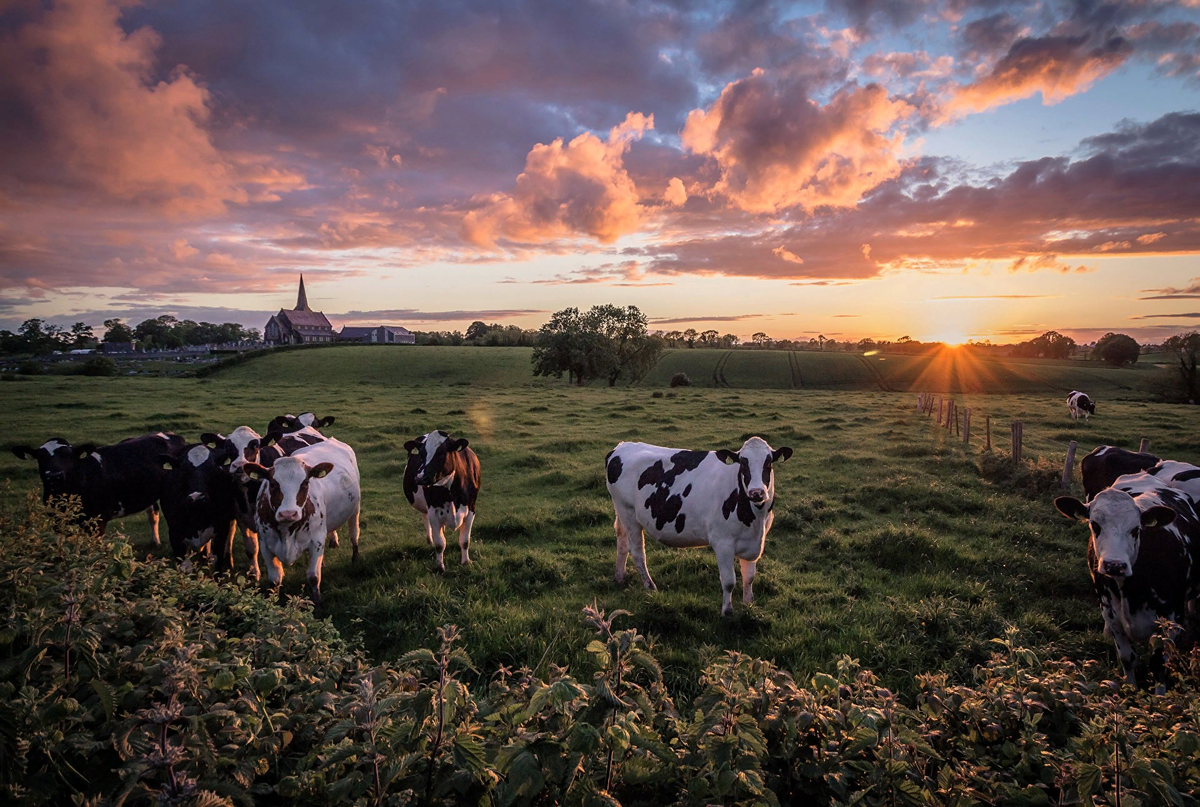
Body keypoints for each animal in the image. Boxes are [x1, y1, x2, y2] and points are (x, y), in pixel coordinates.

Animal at [241, 434, 357, 605]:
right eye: (273, 484)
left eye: (305, 483)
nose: (288, 513)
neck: (287, 530)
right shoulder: (266, 544)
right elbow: (274, 580)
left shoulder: (316, 541)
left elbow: (313, 577)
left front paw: (317, 603)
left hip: (355, 511)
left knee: (354, 534)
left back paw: (355, 558)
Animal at [403, 427, 477, 574]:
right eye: (421, 454)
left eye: (442, 453)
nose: (420, 478)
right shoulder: (434, 511)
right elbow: (440, 544)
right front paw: (439, 567)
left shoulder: (471, 509)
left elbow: (465, 541)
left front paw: (466, 562)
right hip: (427, 509)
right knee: (426, 521)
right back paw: (429, 541)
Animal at [604, 437, 792, 614]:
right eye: (743, 464)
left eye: (768, 463)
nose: (757, 492)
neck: (755, 521)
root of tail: (622, 446)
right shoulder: (722, 542)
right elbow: (729, 581)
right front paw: (727, 612)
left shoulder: (754, 542)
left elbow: (749, 577)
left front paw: (748, 605)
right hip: (628, 512)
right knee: (636, 551)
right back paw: (650, 587)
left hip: (620, 511)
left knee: (621, 542)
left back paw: (619, 577)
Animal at [1051, 473, 1200, 686]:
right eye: (1095, 525)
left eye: (1136, 529)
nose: (1114, 565)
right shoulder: (1112, 614)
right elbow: (1127, 659)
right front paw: (1130, 690)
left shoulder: (1170, 623)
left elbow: (1159, 666)